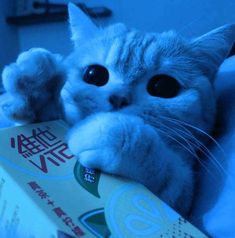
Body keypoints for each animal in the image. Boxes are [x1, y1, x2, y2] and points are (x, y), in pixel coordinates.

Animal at [0, 3, 234, 216]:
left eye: (163, 86)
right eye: (94, 74)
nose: (119, 98)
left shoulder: (181, 192)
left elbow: (157, 159)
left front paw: (109, 132)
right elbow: (45, 114)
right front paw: (37, 88)